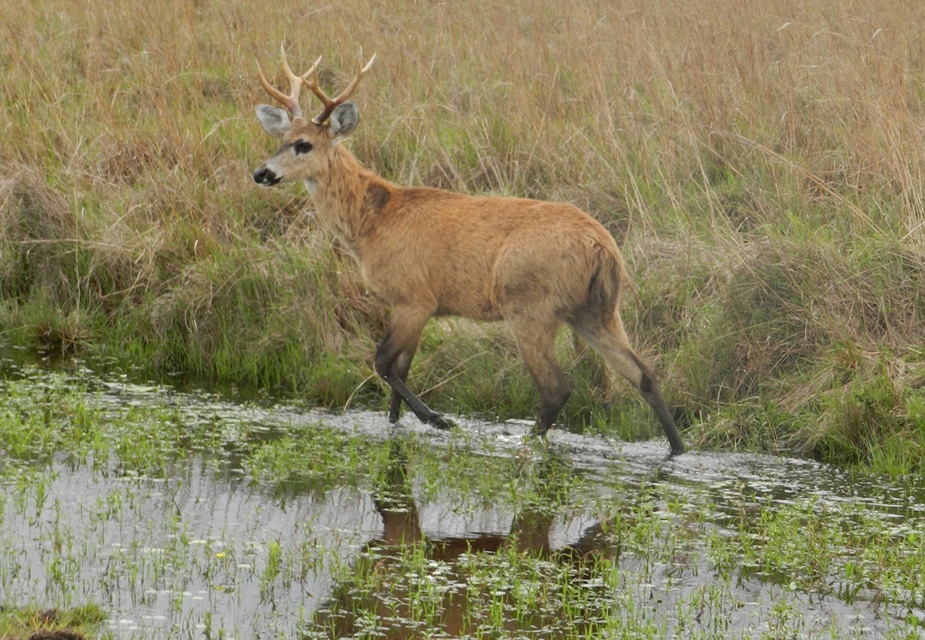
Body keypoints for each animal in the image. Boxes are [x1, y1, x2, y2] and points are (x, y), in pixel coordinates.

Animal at [253, 46, 684, 456]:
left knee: (556, 387)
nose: (261, 173)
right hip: (596, 311)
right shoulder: (416, 305)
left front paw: (439, 420)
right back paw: (676, 450)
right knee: (644, 374)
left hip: (530, 305)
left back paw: (522, 443)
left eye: (304, 145)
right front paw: (400, 426)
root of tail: (603, 248)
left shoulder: (414, 297)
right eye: (279, 140)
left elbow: (383, 363)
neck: (372, 223)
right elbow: (399, 375)